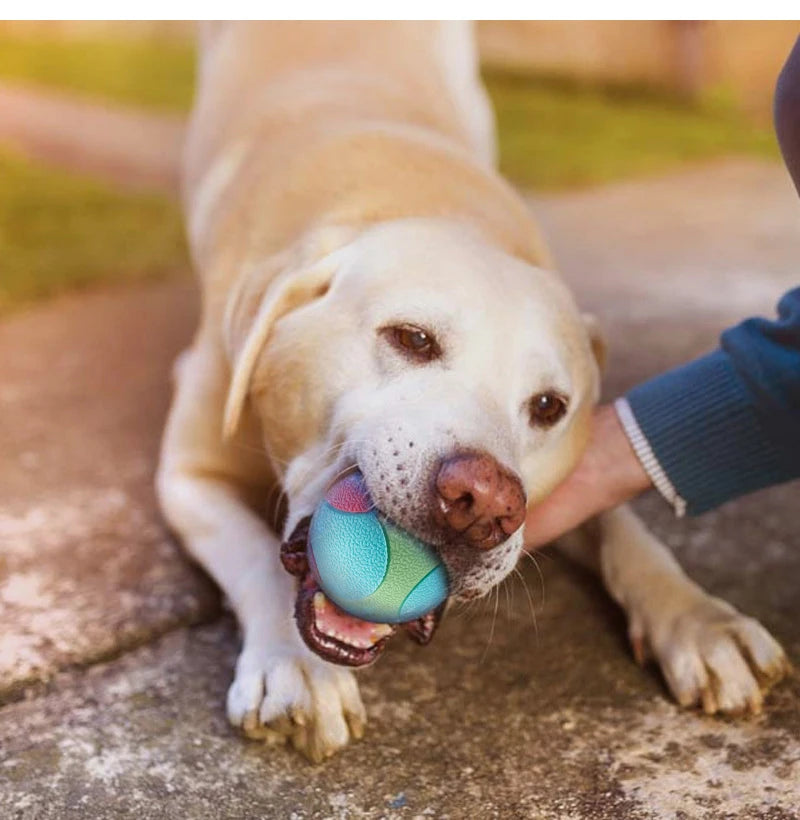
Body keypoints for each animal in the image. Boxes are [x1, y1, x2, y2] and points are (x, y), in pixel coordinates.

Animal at [156, 19, 788, 764]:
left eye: (548, 407)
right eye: (412, 338)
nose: (484, 502)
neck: (421, 195)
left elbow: (626, 530)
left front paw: (699, 618)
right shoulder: (187, 474)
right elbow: (254, 556)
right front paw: (294, 664)